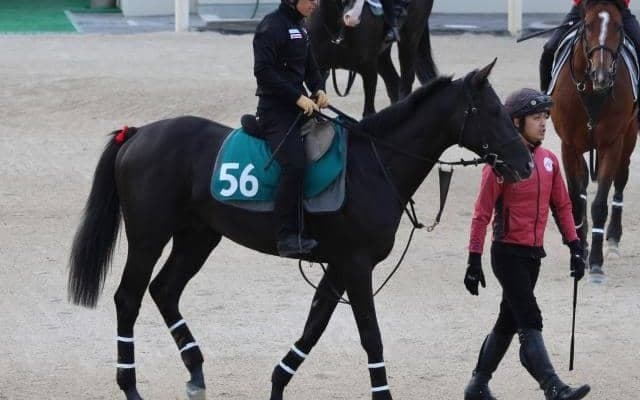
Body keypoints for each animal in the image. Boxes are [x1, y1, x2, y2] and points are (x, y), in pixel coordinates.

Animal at [67, 60, 532, 400]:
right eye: (494, 112)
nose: (526, 164)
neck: (375, 162)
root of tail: (139, 133)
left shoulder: (339, 266)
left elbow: (314, 326)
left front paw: (278, 383)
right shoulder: (356, 265)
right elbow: (371, 337)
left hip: (198, 236)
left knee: (164, 289)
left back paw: (196, 372)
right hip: (149, 237)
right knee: (129, 298)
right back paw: (130, 386)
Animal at [308, 0, 437, 116]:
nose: (353, 16)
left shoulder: (368, 67)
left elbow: (369, 112)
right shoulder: (319, 68)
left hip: (410, 39)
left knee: (406, 81)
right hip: (382, 56)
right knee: (393, 83)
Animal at [548, 0, 638, 282]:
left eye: (618, 26)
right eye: (587, 26)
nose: (601, 75)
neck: (590, 92)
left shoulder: (612, 143)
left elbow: (599, 204)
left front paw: (596, 262)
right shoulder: (569, 145)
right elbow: (577, 200)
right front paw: (580, 250)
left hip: (629, 136)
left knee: (620, 179)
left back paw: (613, 240)